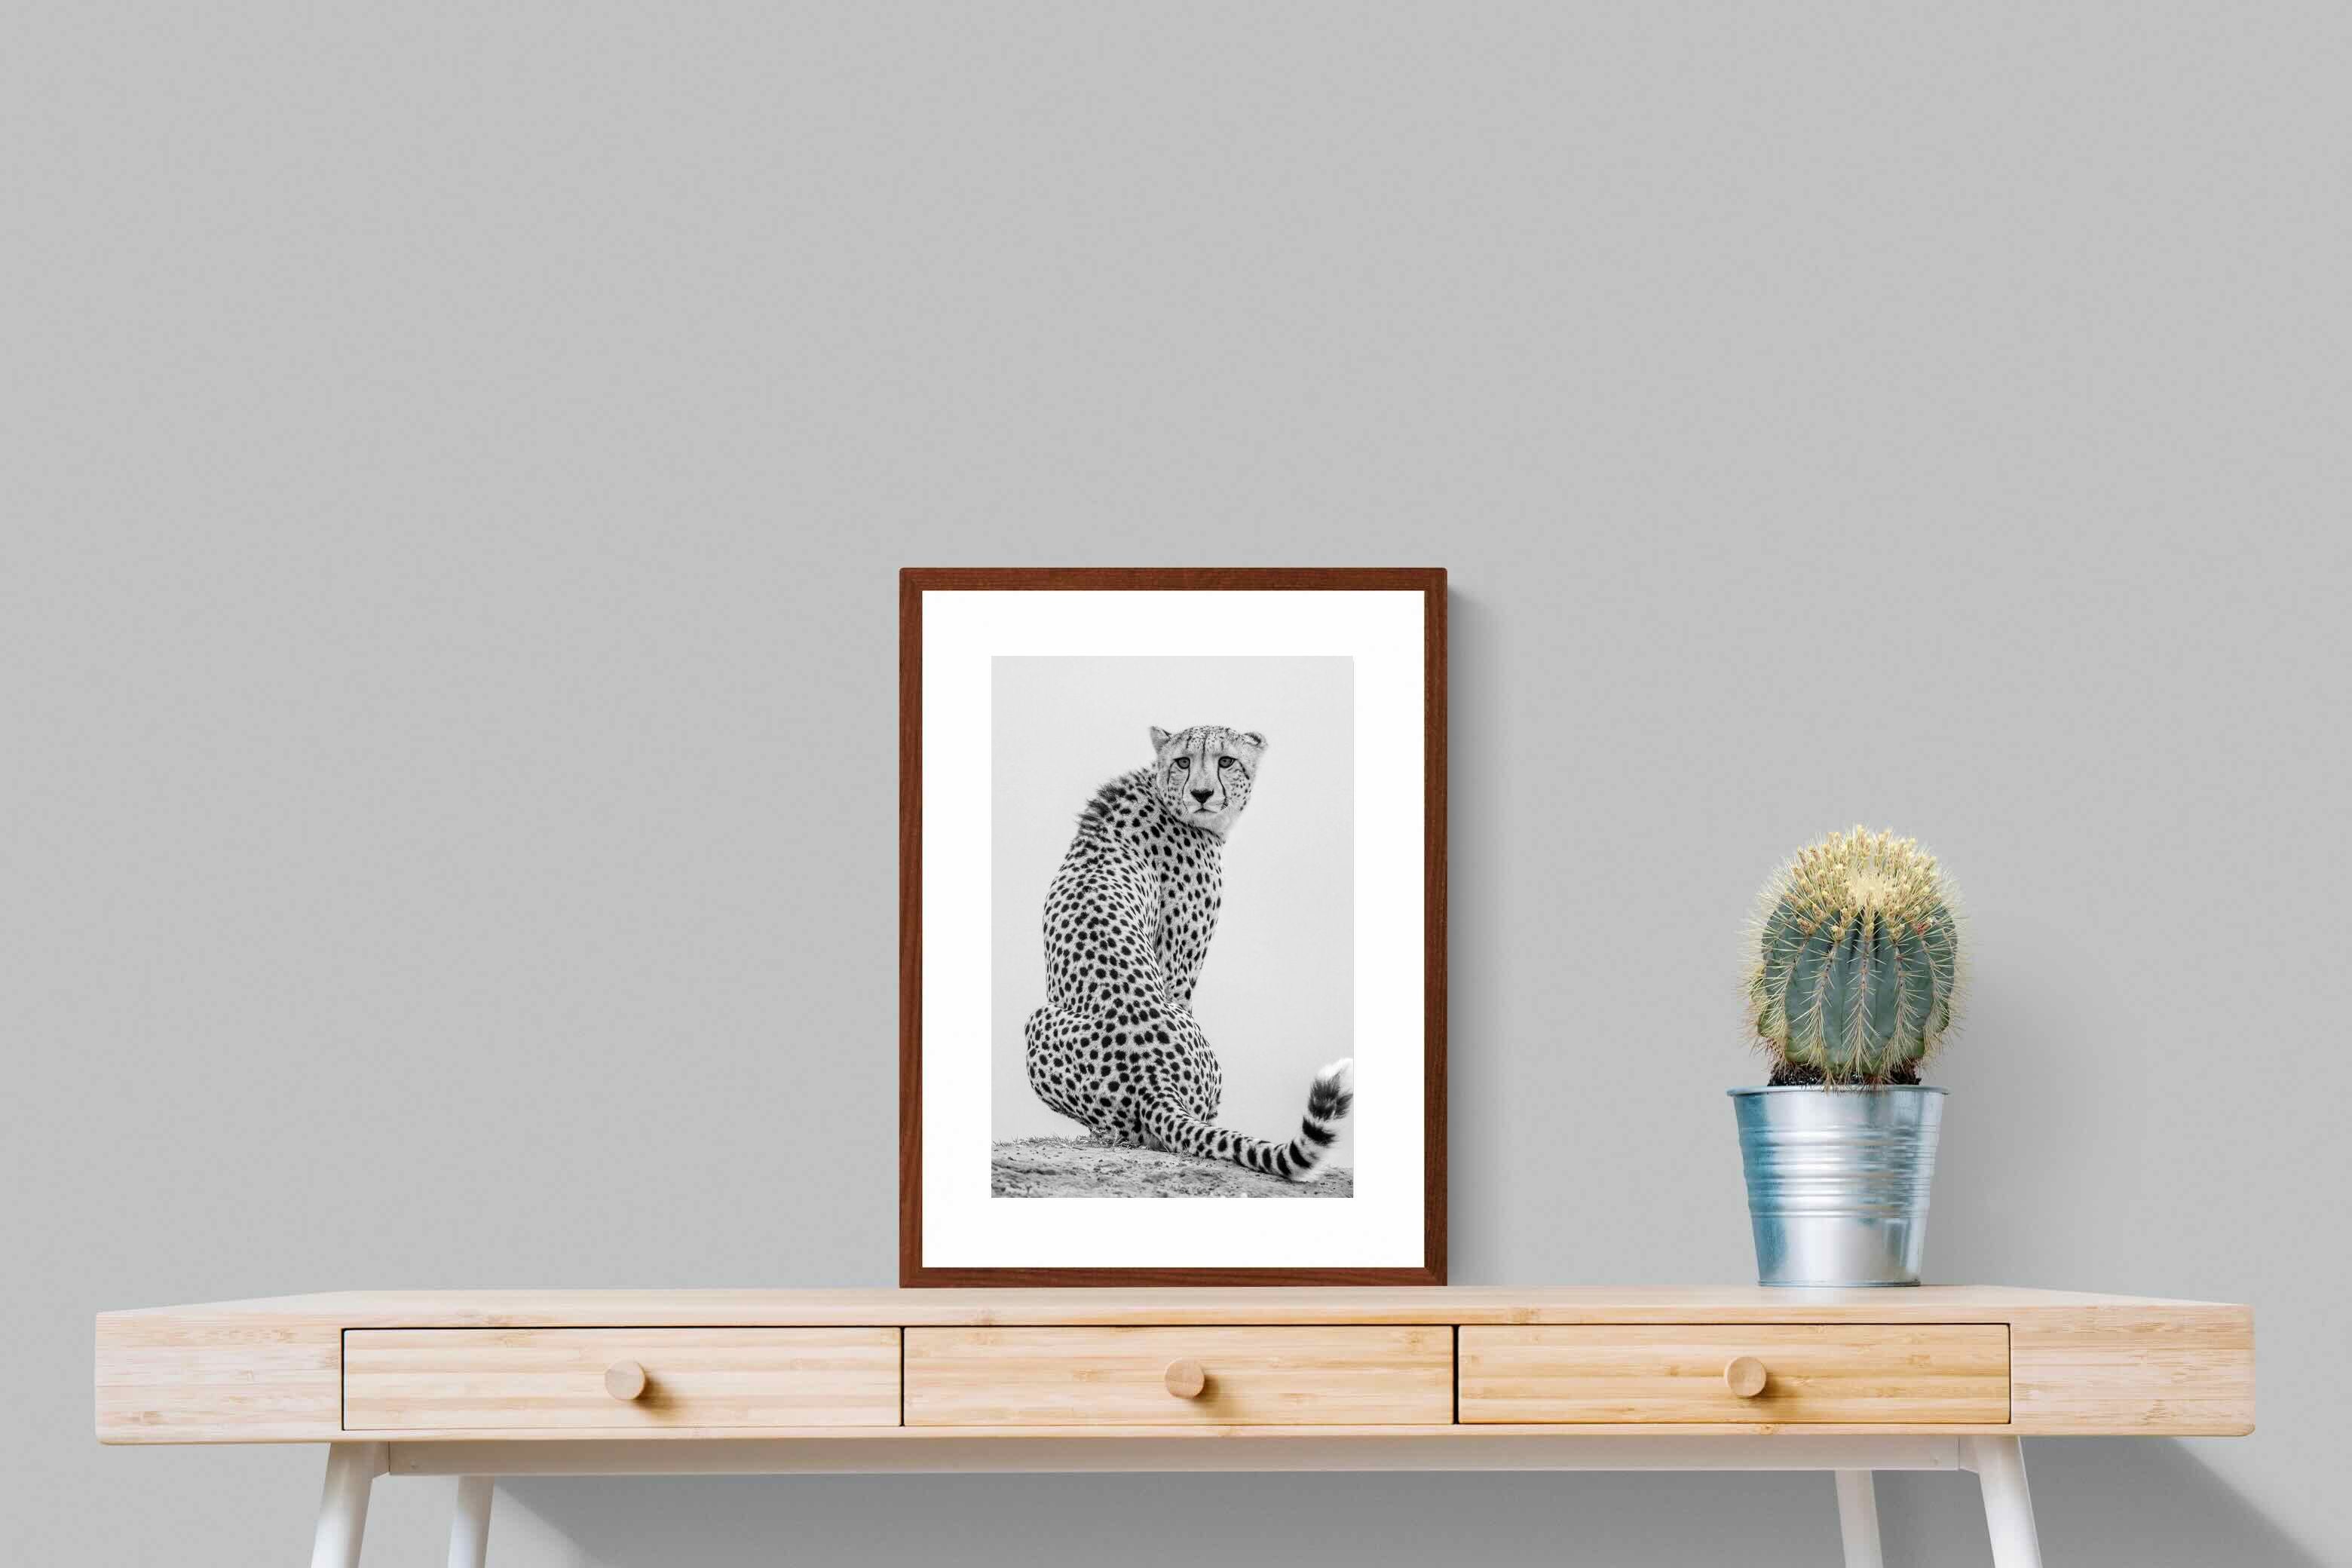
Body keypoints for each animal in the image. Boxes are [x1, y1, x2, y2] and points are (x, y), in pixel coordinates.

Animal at [1021, 723, 1354, 1183]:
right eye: (1184, 761)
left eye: (1226, 760)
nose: (1201, 793)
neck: (1162, 793)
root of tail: (1153, 1079)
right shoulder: (1178, 968)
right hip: (1042, 1021)